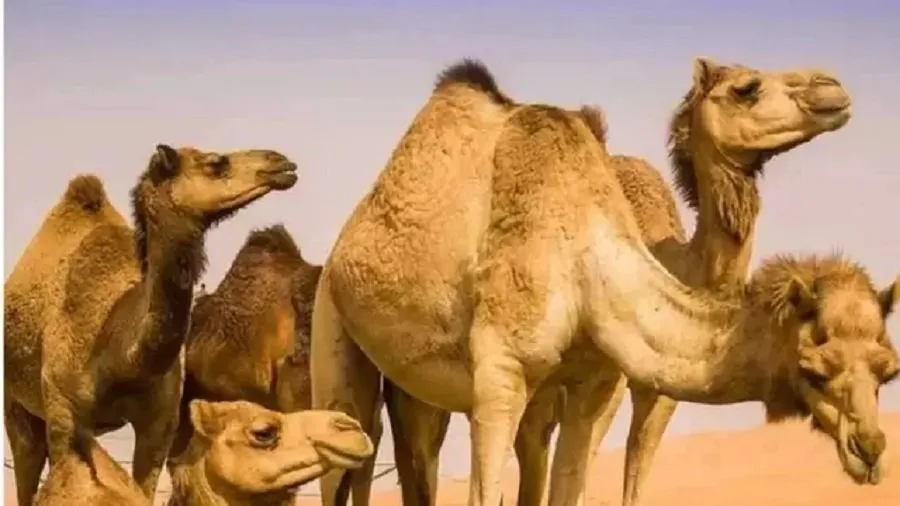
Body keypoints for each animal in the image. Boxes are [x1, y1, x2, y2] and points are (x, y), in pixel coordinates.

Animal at [4, 145, 298, 505]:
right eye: (215, 163)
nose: (281, 162)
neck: (117, 355)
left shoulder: (160, 424)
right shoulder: (63, 417)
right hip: (17, 405)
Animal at [308, 58, 897, 506]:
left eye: (886, 370)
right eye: (816, 369)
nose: (870, 449)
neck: (589, 246)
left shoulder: (595, 384)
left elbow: (570, 488)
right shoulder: (501, 373)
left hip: (418, 389)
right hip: (332, 324)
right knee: (346, 451)